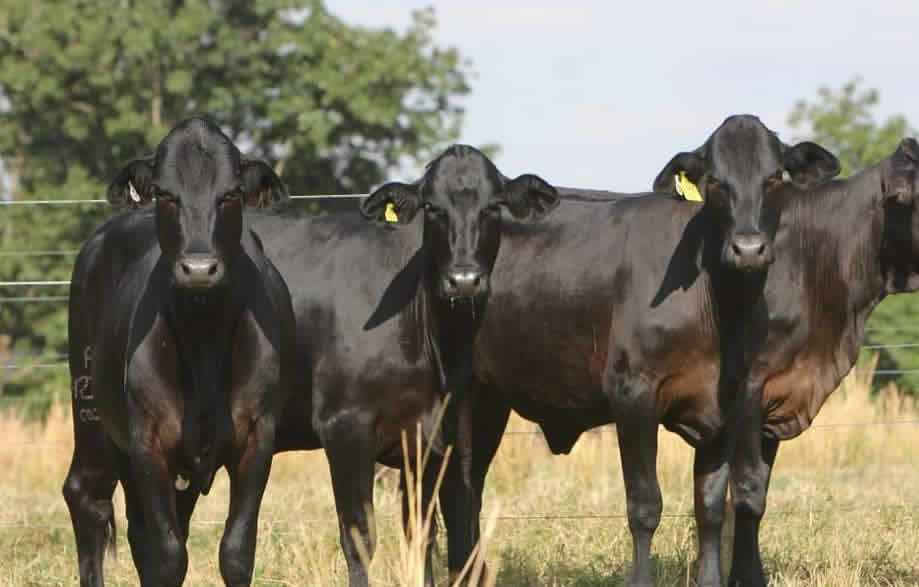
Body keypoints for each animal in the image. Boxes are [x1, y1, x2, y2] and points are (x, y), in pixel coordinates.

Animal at [63, 119, 292, 587]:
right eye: (166, 194)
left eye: (231, 194)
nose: (199, 269)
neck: (202, 337)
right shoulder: (149, 439)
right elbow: (167, 557)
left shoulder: (257, 438)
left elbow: (235, 552)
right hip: (90, 410)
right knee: (89, 497)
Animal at [446, 116, 840, 587]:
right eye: (715, 182)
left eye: (775, 177)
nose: (748, 248)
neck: (717, 310)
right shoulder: (632, 393)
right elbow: (645, 505)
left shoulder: (726, 402)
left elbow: (709, 507)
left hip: (489, 400)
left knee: (466, 489)